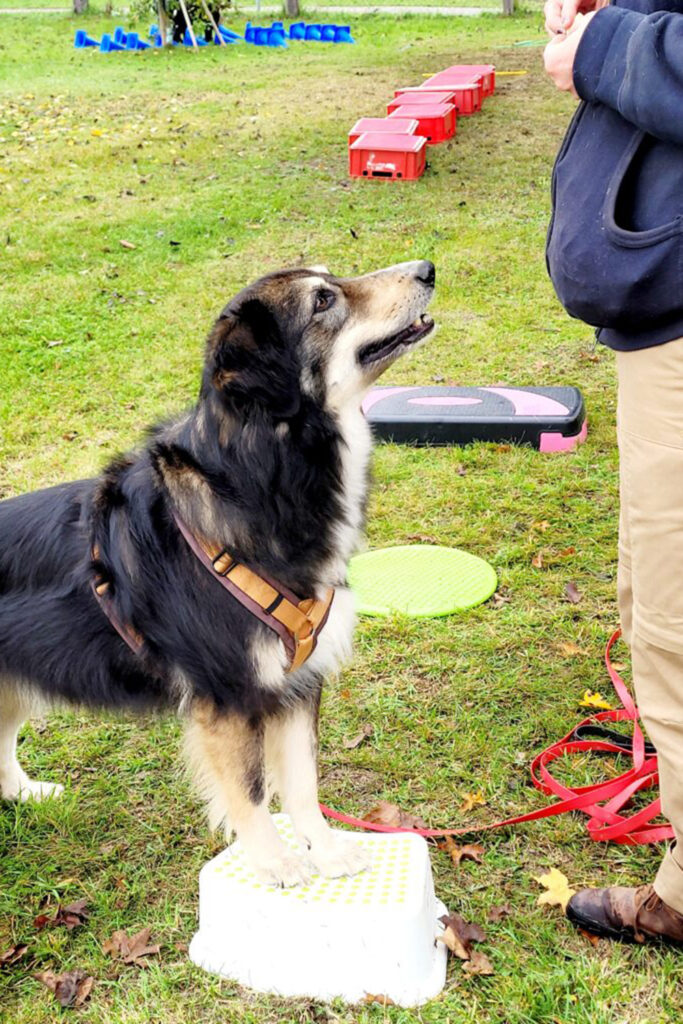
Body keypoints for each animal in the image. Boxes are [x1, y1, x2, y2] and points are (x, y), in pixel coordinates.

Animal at [0, 258, 436, 888]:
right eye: (323, 301)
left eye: (330, 280)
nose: (426, 269)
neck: (261, 479)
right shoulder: (229, 696)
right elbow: (251, 791)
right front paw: (276, 863)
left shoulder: (296, 683)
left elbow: (302, 784)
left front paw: (327, 852)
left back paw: (26, 792)